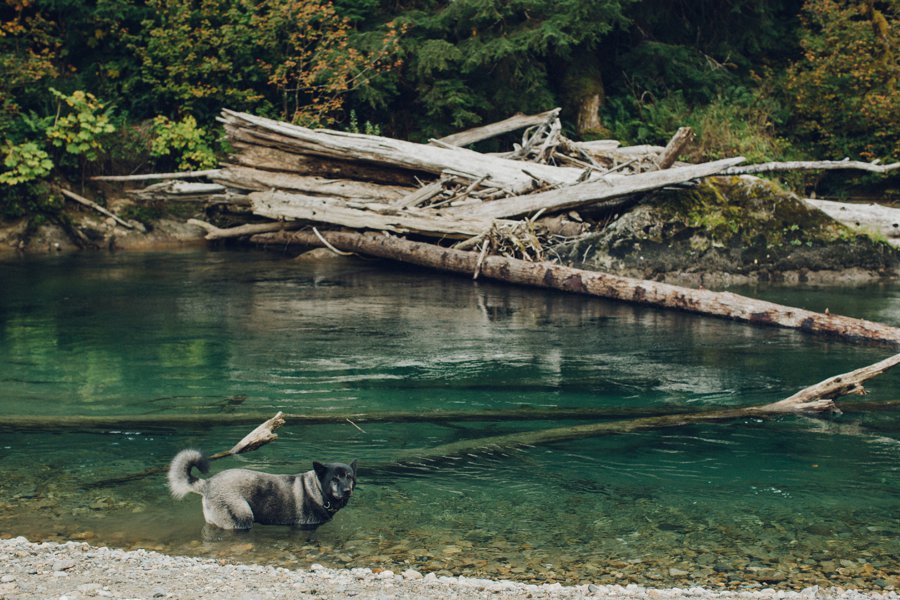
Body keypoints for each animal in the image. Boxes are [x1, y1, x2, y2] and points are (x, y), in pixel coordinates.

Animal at [167, 450, 356, 528]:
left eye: (349, 477)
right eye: (334, 479)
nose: (348, 490)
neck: (317, 490)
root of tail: (208, 483)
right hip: (242, 518)